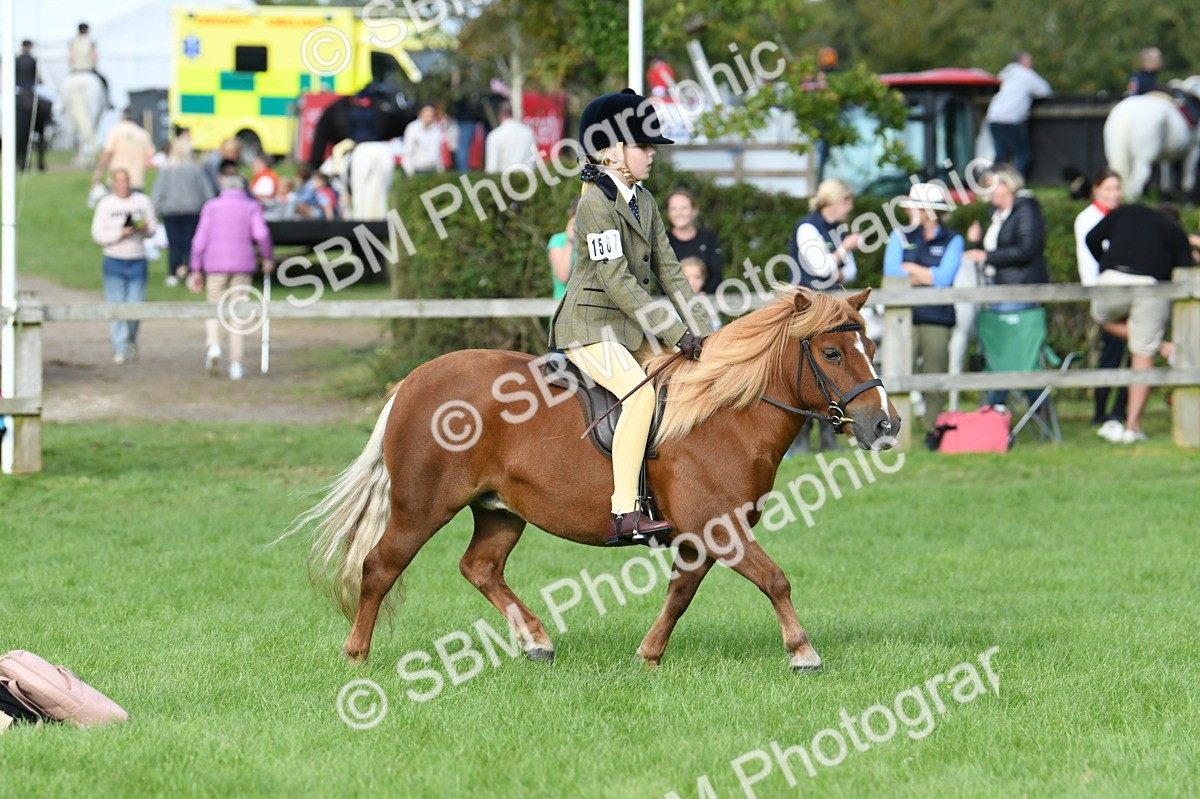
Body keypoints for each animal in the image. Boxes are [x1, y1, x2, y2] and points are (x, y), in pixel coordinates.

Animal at [285, 287, 901, 672]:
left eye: (872, 347)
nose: (885, 425)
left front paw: (648, 655)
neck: (724, 413)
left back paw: (536, 641)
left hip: (500, 509)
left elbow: (680, 594)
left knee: (480, 567)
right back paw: (356, 656)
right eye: (831, 352)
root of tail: (413, 382)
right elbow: (776, 580)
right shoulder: (721, 529)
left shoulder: (699, 537)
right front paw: (803, 652)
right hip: (421, 508)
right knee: (379, 568)